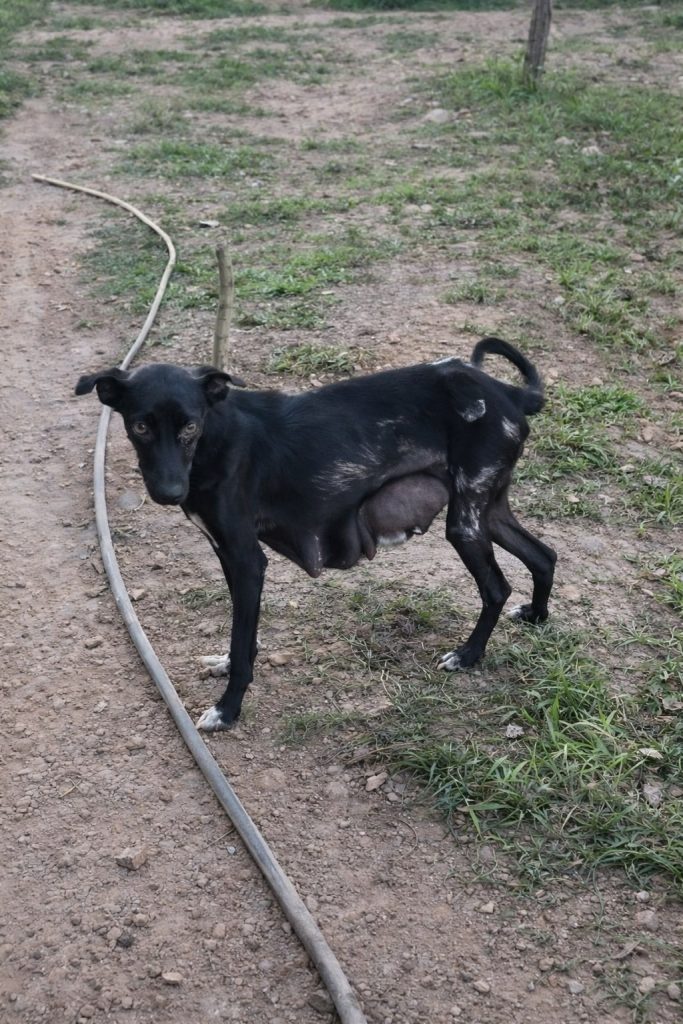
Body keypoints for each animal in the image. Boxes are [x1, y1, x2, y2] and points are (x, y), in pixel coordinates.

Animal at [76, 336, 556, 731]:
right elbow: (242, 636)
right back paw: (536, 615)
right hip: (489, 510)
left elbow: (242, 641)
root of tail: (509, 393)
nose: (170, 493)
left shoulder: (247, 560)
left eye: (189, 426)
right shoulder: (228, 555)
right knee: (544, 555)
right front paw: (229, 665)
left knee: (497, 587)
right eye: (140, 426)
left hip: (465, 521)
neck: (216, 436)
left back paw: (468, 655)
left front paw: (228, 710)